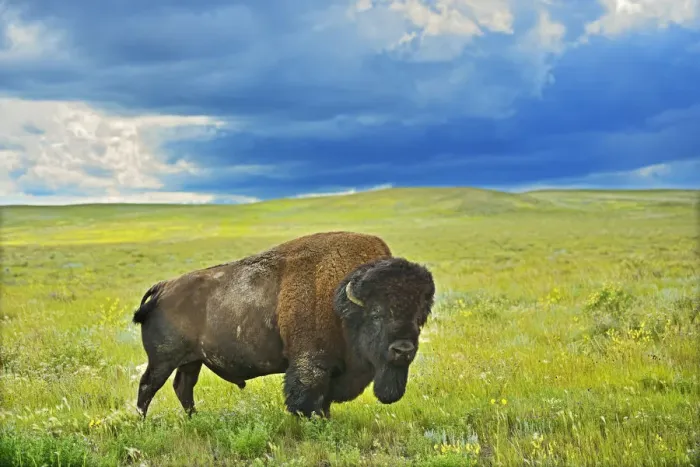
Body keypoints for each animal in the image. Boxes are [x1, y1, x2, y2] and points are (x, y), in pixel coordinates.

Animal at [131, 231, 435, 418]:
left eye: (419, 317)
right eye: (377, 314)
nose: (403, 349)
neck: (342, 300)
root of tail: (163, 288)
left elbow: (324, 401)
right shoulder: (311, 364)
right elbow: (308, 399)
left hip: (192, 361)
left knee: (183, 388)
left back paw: (194, 419)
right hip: (162, 360)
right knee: (148, 387)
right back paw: (142, 424)